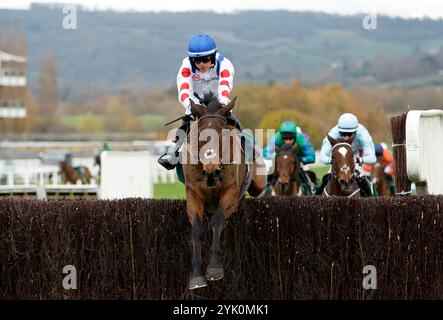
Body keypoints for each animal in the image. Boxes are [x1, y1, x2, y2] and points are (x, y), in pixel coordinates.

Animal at [181, 92, 268, 290]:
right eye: (200, 136)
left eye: (222, 136)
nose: (212, 171)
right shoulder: (193, 194)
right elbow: (197, 229)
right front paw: (196, 276)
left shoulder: (231, 192)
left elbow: (218, 219)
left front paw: (214, 268)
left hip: (258, 183)